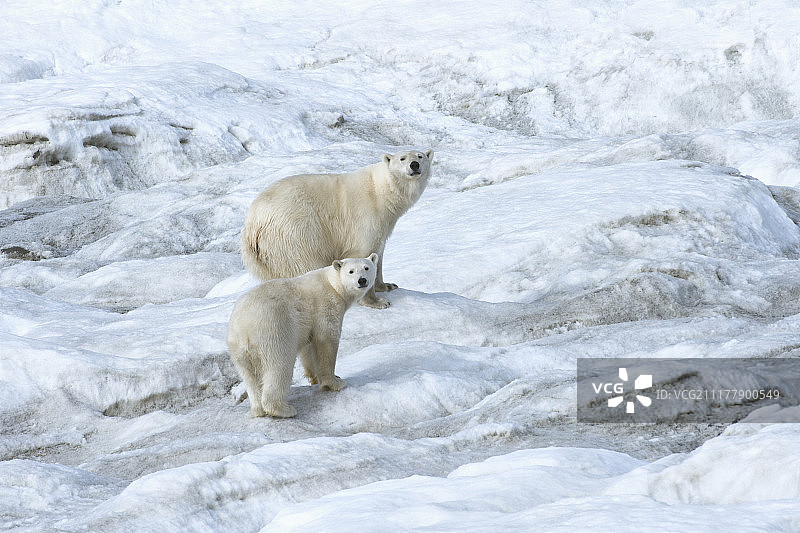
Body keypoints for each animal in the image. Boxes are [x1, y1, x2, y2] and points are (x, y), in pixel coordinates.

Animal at [227, 253, 378, 418]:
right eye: (351, 271)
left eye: (366, 267)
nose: (362, 280)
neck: (333, 285)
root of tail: (244, 329)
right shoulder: (325, 306)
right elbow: (326, 341)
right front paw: (335, 382)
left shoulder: (305, 325)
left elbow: (307, 348)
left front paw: (316, 377)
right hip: (273, 332)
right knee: (279, 367)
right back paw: (284, 409)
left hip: (238, 351)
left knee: (250, 377)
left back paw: (257, 409)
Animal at [241, 149, 434, 309]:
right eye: (402, 158)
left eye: (420, 156)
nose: (414, 165)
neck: (381, 191)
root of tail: (252, 224)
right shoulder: (365, 216)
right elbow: (362, 252)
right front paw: (377, 301)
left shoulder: (384, 224)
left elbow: (378, 253)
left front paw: (387, 286)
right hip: (297, 233)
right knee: (306, 264)